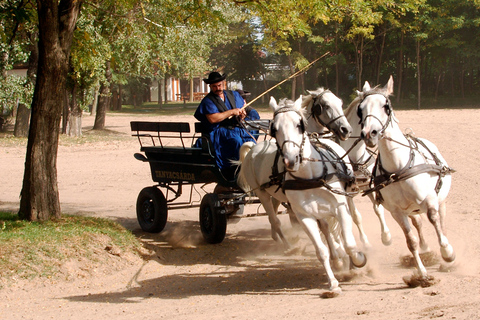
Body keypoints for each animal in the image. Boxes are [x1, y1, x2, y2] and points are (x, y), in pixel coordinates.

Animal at [238, 97, 366, 292]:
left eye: (299, 125)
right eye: (274, 129)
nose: (291, 160)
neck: (310, 175)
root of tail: (254, 147)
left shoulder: (340, 207)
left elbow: (349, 243)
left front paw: (357, 260)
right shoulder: (304, 216)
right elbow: (321, 251)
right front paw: (333, 283)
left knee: (330, 226)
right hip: (262, 193)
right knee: (274, 219)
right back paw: (289, 246)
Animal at [356, 75, 454, 284]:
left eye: (386, 106)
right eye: (361, 108)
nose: (369, 134)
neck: (398, 168)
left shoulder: (429, 200)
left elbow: (434, 219)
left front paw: (448, 252)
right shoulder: (397, 212)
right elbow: (411, 241)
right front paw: (422, 275)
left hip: (440, 199)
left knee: (440, 221)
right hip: (411, 209)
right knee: (418, 223)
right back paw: (426, 249)